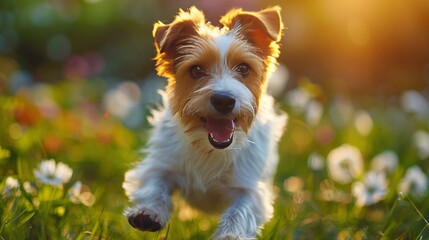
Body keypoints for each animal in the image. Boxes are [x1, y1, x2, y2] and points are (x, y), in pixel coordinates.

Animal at [122, 6, 286, 240]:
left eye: (243, 68)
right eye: (196, 70)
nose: (224, 100)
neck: (209, 147)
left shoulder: (249, 186)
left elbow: (240, 211)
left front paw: (230, 235)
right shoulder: (162, 162)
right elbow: (154, 185)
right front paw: (148, 211)